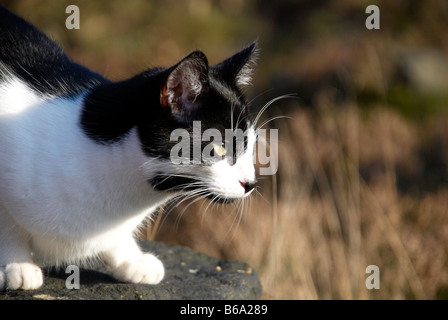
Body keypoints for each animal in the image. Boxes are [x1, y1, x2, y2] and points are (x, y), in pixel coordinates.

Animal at [0, 5, 258, 290]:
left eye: (250, 145)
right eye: (220, 147)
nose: (251, 183)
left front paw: (130, 259)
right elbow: (7, 225)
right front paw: (15, 264)